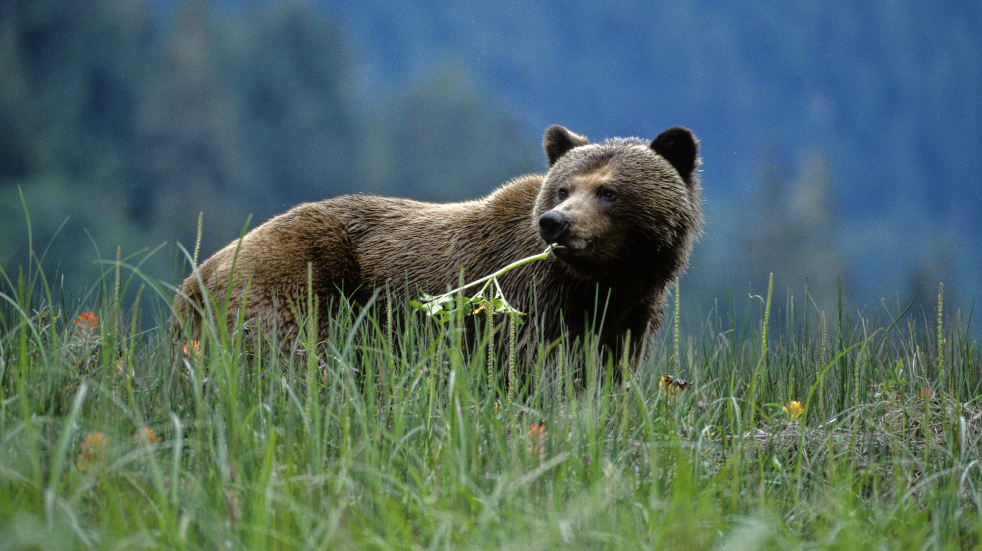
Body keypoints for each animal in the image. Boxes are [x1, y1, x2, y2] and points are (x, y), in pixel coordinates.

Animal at [175, 125, 700, 384]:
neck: (599, 282)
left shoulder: (628, 315)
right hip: (299, 273)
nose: (556, 222)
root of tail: (196, 278)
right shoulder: (525, 301)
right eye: (563, 188)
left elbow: (607, 373)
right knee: (296, 350)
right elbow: (529, 368)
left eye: (608, 191)